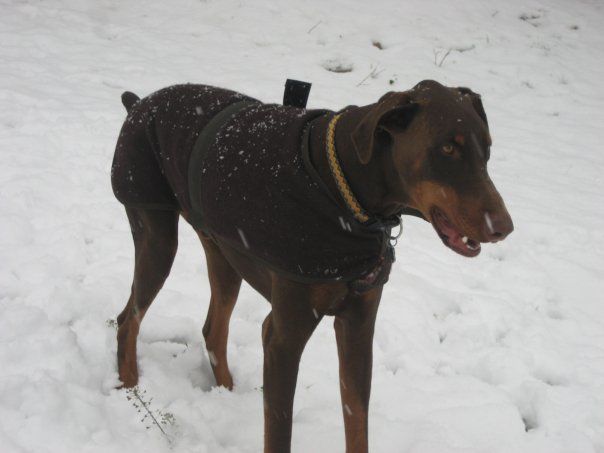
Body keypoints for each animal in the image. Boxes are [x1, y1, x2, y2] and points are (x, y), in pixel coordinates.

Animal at [111, 81, 512, 452]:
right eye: (447, 148)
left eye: (487, 149)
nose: (504, 228)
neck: (344, 191)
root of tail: (139, 103)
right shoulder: (282, 337)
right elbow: (279, 434)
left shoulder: (358, 325)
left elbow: (357, 420)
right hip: (157, 235)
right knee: (128, 318)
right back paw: (130, 390)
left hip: (223, 253)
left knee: (213, 329)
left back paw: (227, 392)